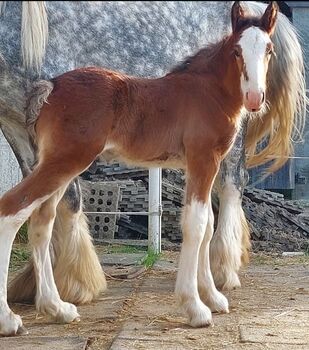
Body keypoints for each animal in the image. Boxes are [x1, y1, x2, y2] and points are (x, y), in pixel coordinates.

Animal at [0, 1, 276, 334]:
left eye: (269, 50)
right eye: (237, 51)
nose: (255, 98)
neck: (207, 91)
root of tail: (51, 86)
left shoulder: (196, 165)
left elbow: (208, 224)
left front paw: (212, 297)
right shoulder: (203, 159)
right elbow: (197, 225)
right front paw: (196, 307)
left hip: (58, 164)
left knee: (42, 222)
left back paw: (58, 308)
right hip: (65, 161)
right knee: (11, 209)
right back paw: (9, 319)